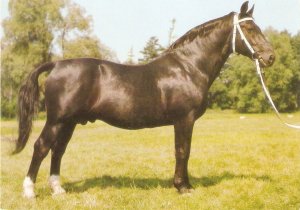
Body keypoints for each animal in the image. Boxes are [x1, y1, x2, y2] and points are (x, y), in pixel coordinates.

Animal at [15, 1, 276, 198]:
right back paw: (29, 191)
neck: (188, 66)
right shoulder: (184, 119)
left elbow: (184, 151)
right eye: (249, 29)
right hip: (57, 121)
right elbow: (183, 151)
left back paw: (58, 190)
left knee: (58, 150)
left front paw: (185, 184)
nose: (270, 57)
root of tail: (57, 64)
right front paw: (183, 187)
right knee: (41, 147)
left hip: (69, 123)